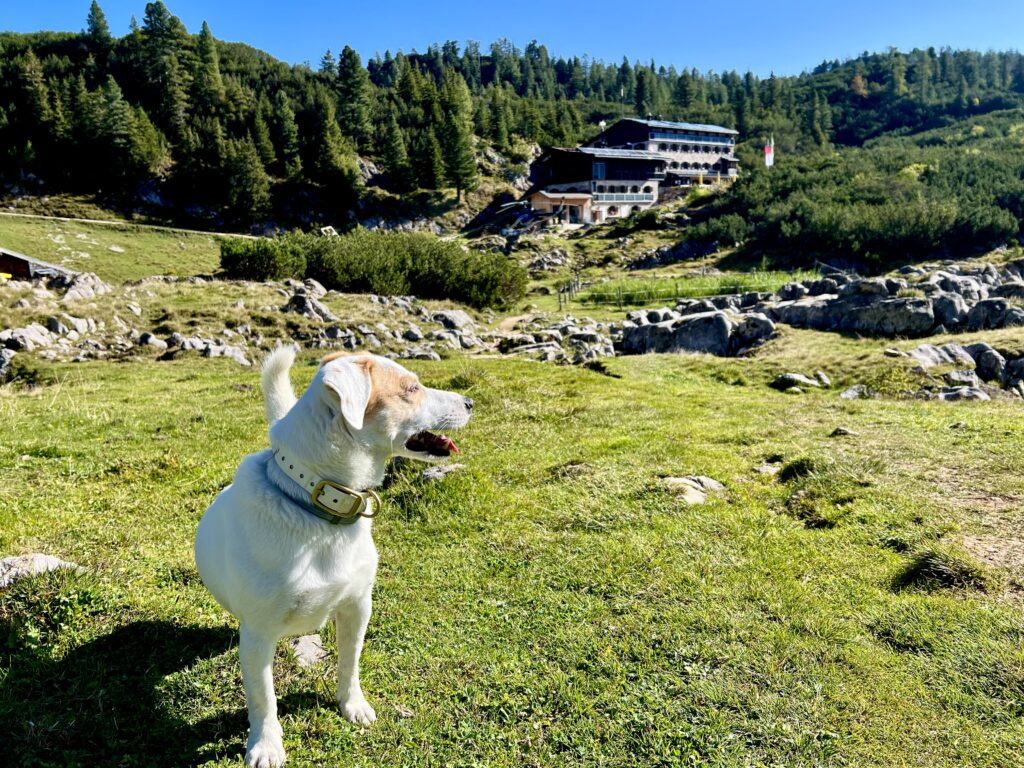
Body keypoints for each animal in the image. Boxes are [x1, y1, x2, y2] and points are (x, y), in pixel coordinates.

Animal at [195, 350, 471, 768]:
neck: (317, 509)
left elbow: (349, 663)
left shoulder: (357, 606)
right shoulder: (258, 634)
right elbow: (263, 698)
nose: (470, 402)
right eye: (411, 388)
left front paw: (351, 704)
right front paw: (266, 744)